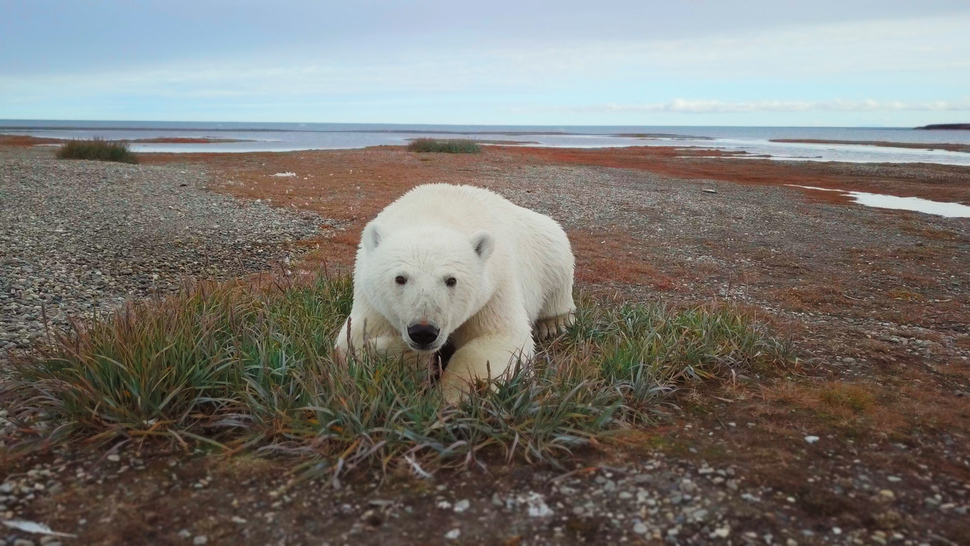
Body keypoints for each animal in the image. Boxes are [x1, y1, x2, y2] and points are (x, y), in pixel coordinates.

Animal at [334, 183, 576, 400]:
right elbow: (355, 339)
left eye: (451, 280)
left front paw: (449, 395)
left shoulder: (494, 287)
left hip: (548, 250)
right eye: (400, 278)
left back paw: (554, 323)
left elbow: (499, 340)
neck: (434, 212)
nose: (423, 331)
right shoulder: (371, 299)